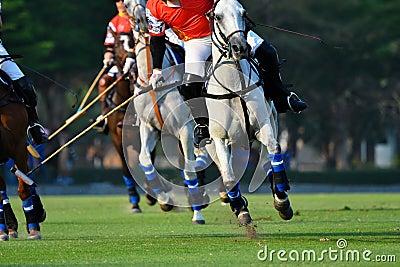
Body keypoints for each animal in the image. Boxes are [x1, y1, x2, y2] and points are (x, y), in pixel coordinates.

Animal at [124, 0, 206, 225]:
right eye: (125, 4)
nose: (143, 21)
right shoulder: (149, 127)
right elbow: (144, 159)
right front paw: (164, 200)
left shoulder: (185, 129)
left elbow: (188, 169)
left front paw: (197, 214)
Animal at [206, 0, 294, 226]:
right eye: (218, 16)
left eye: (243, 13)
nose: (241, 47)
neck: (234, 86)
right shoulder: (219, 137)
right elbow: (228, 176)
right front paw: (241, 210)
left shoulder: (263, 125)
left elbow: (273, 149)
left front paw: (282, 200)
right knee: (226, 170)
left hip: (271, 121)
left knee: (266, 161)